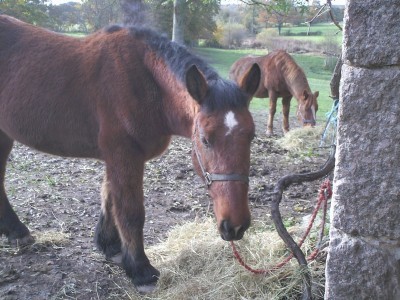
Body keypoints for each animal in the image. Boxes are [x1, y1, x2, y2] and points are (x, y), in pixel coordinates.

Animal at [0, 15, 260, 292]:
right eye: (205, 140)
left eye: (251, 136)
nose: (235, 226)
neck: (145, 83)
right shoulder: (124, 155)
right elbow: (130, 211)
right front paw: (140, 269)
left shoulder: (116, 158)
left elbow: (110, 198)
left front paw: (110, 245)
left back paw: (15, 231)